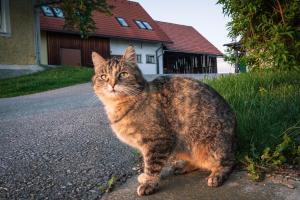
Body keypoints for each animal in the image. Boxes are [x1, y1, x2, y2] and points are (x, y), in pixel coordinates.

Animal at [92, 46, 237, 195]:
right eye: (103, 77)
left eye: (123, 74)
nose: (112, 84)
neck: (118, 106)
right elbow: (149, 164)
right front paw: (146, 177)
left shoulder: (158, 140)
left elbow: (152, 165)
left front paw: (149, 182)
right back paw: (182, 165)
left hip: (212, 146)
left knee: (230, 161)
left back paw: (217, 174)